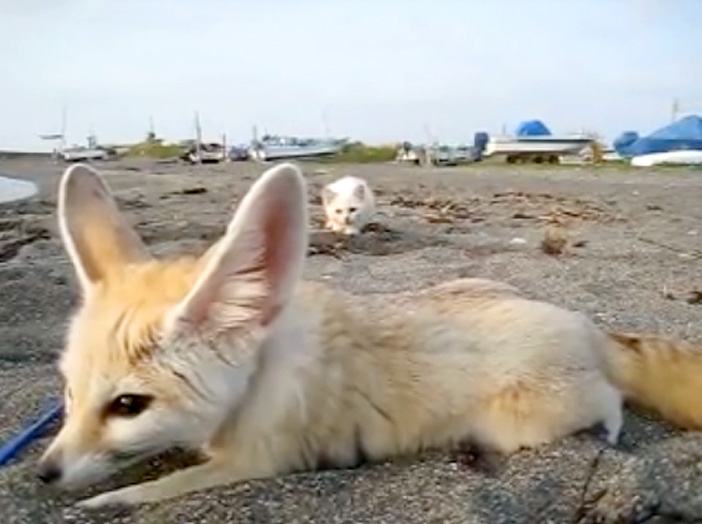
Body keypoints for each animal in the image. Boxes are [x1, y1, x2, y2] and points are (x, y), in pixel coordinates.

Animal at [37, 162, 702, 506]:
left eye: (128, 404)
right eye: (68, 394)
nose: (42, 474)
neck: (261, 374)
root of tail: (588, 326)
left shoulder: (258, 461)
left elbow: (148, 493)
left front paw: (99, 503)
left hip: (518, 423)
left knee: (610, 398)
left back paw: (610, 430)